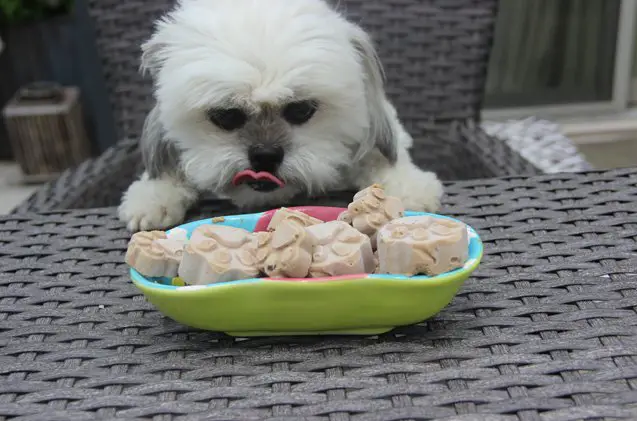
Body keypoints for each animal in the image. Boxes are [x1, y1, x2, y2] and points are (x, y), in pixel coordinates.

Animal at [121, 0, 444, 231]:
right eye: (225, 116)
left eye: (301, 110)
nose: (265, 155)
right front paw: (152, 197)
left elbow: (381, 158)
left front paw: (409, 186)